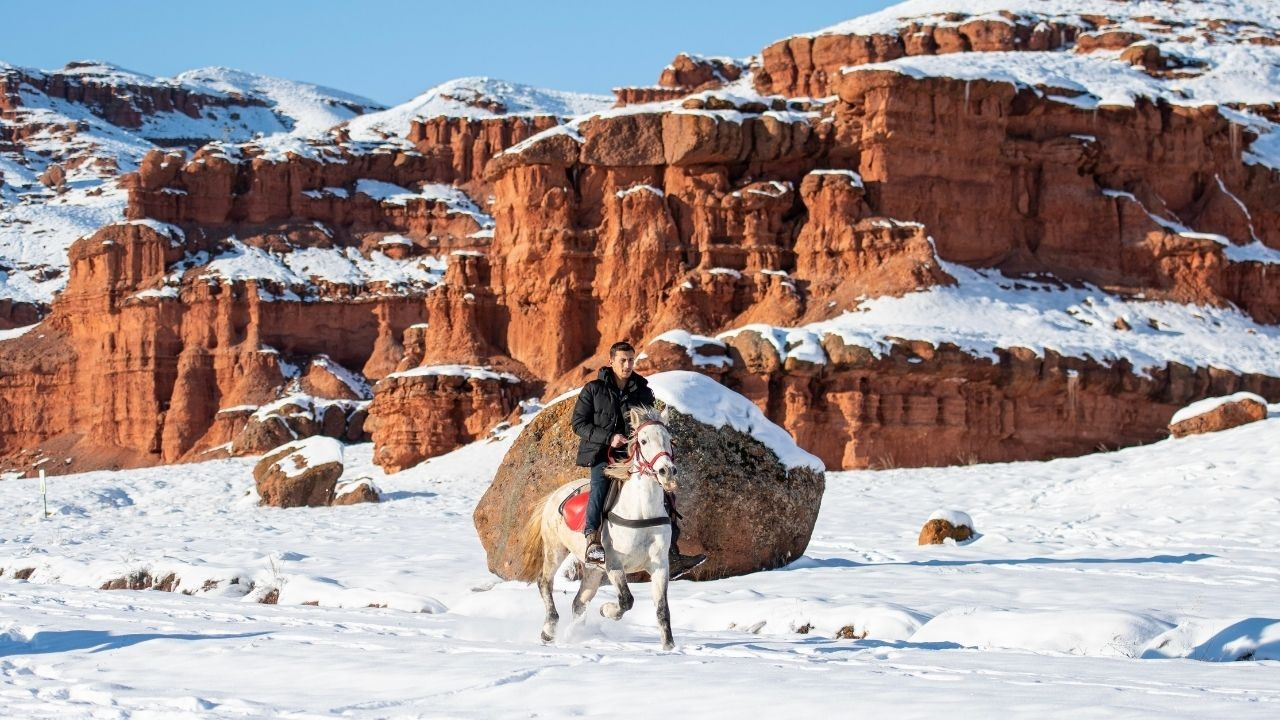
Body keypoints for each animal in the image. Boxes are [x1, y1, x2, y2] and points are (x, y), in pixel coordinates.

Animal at [517, 407, 686, 648]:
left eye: (670, 439)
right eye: (643, 441)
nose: (667, 471)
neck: (641, 511)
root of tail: (553, 496)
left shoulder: (660, 566)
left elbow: (662, 610)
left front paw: (669, 648)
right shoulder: (614, 565)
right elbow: (626, 600)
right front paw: (606, 610)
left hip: (593, 570)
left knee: (579, 602)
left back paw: (574, 633)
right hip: (555, 550)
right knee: (544, 582)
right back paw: (549, 630)